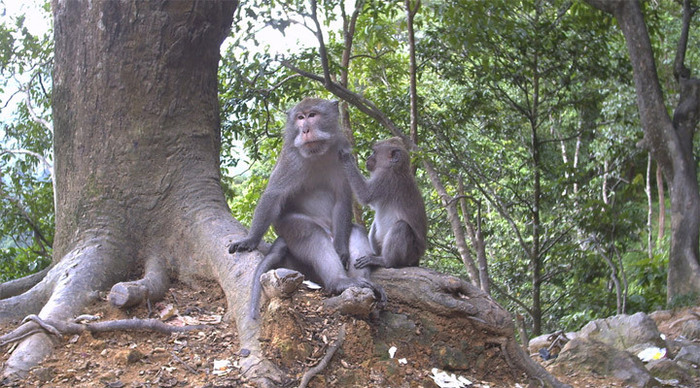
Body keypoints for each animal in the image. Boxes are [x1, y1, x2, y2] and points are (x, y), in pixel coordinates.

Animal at [228, 97, 382, 318]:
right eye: (300, 118)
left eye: (312, 115)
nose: (305, 129)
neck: (318, 153)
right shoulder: (290, 159)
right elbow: (273, 196)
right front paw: (249, 240)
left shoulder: (343, 152)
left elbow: (343, 198)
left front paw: (342, 250)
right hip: (288, 228)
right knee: (311, 232)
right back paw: (339, 282)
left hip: (335, 229)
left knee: (355, 230)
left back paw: (360, 284)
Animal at [340, 139, 426, 270]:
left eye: (374, 152)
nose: (368, 157)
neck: (396, 168)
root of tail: (418, 257)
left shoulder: (385, 178)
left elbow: (365, 195)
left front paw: (346, 157)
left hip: (410, 253)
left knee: (401, 226)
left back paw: (386, 261)